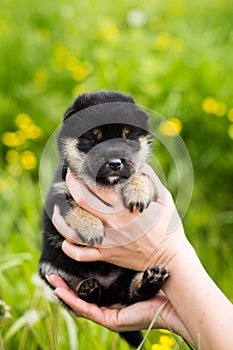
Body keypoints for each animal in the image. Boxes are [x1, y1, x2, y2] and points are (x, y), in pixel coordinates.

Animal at [39, 91, 170, 348]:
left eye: (128, 138)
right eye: (93, 139)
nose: (115, 163)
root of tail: (108, 293)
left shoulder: (148, 179)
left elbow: (141, 176)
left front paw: (137, 192)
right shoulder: (59, 193)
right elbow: (74, 206)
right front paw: (91, 228)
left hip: (128, 273)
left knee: (130, 294)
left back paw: (148, 281)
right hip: (49, 268)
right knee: (74, 288)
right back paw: (87, 289)